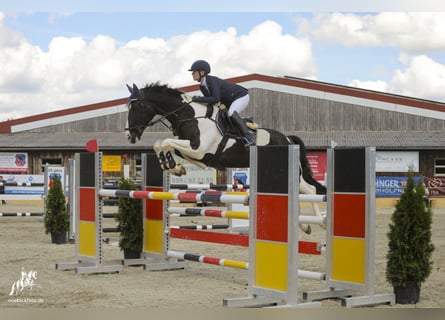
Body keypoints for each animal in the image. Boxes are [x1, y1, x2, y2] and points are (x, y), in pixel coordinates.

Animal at [125, 82, 326, 232]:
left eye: (136, 107)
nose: (129, 135)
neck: (189, 115)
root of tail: (287, 138)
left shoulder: (198, 149)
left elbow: (165, 141)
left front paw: (173, 166)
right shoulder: (193, 151)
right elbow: (160, 143)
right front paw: (174, 167)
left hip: (292, 172)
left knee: (308, 190)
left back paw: (313, 224)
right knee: (307, 190)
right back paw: (307, 225)